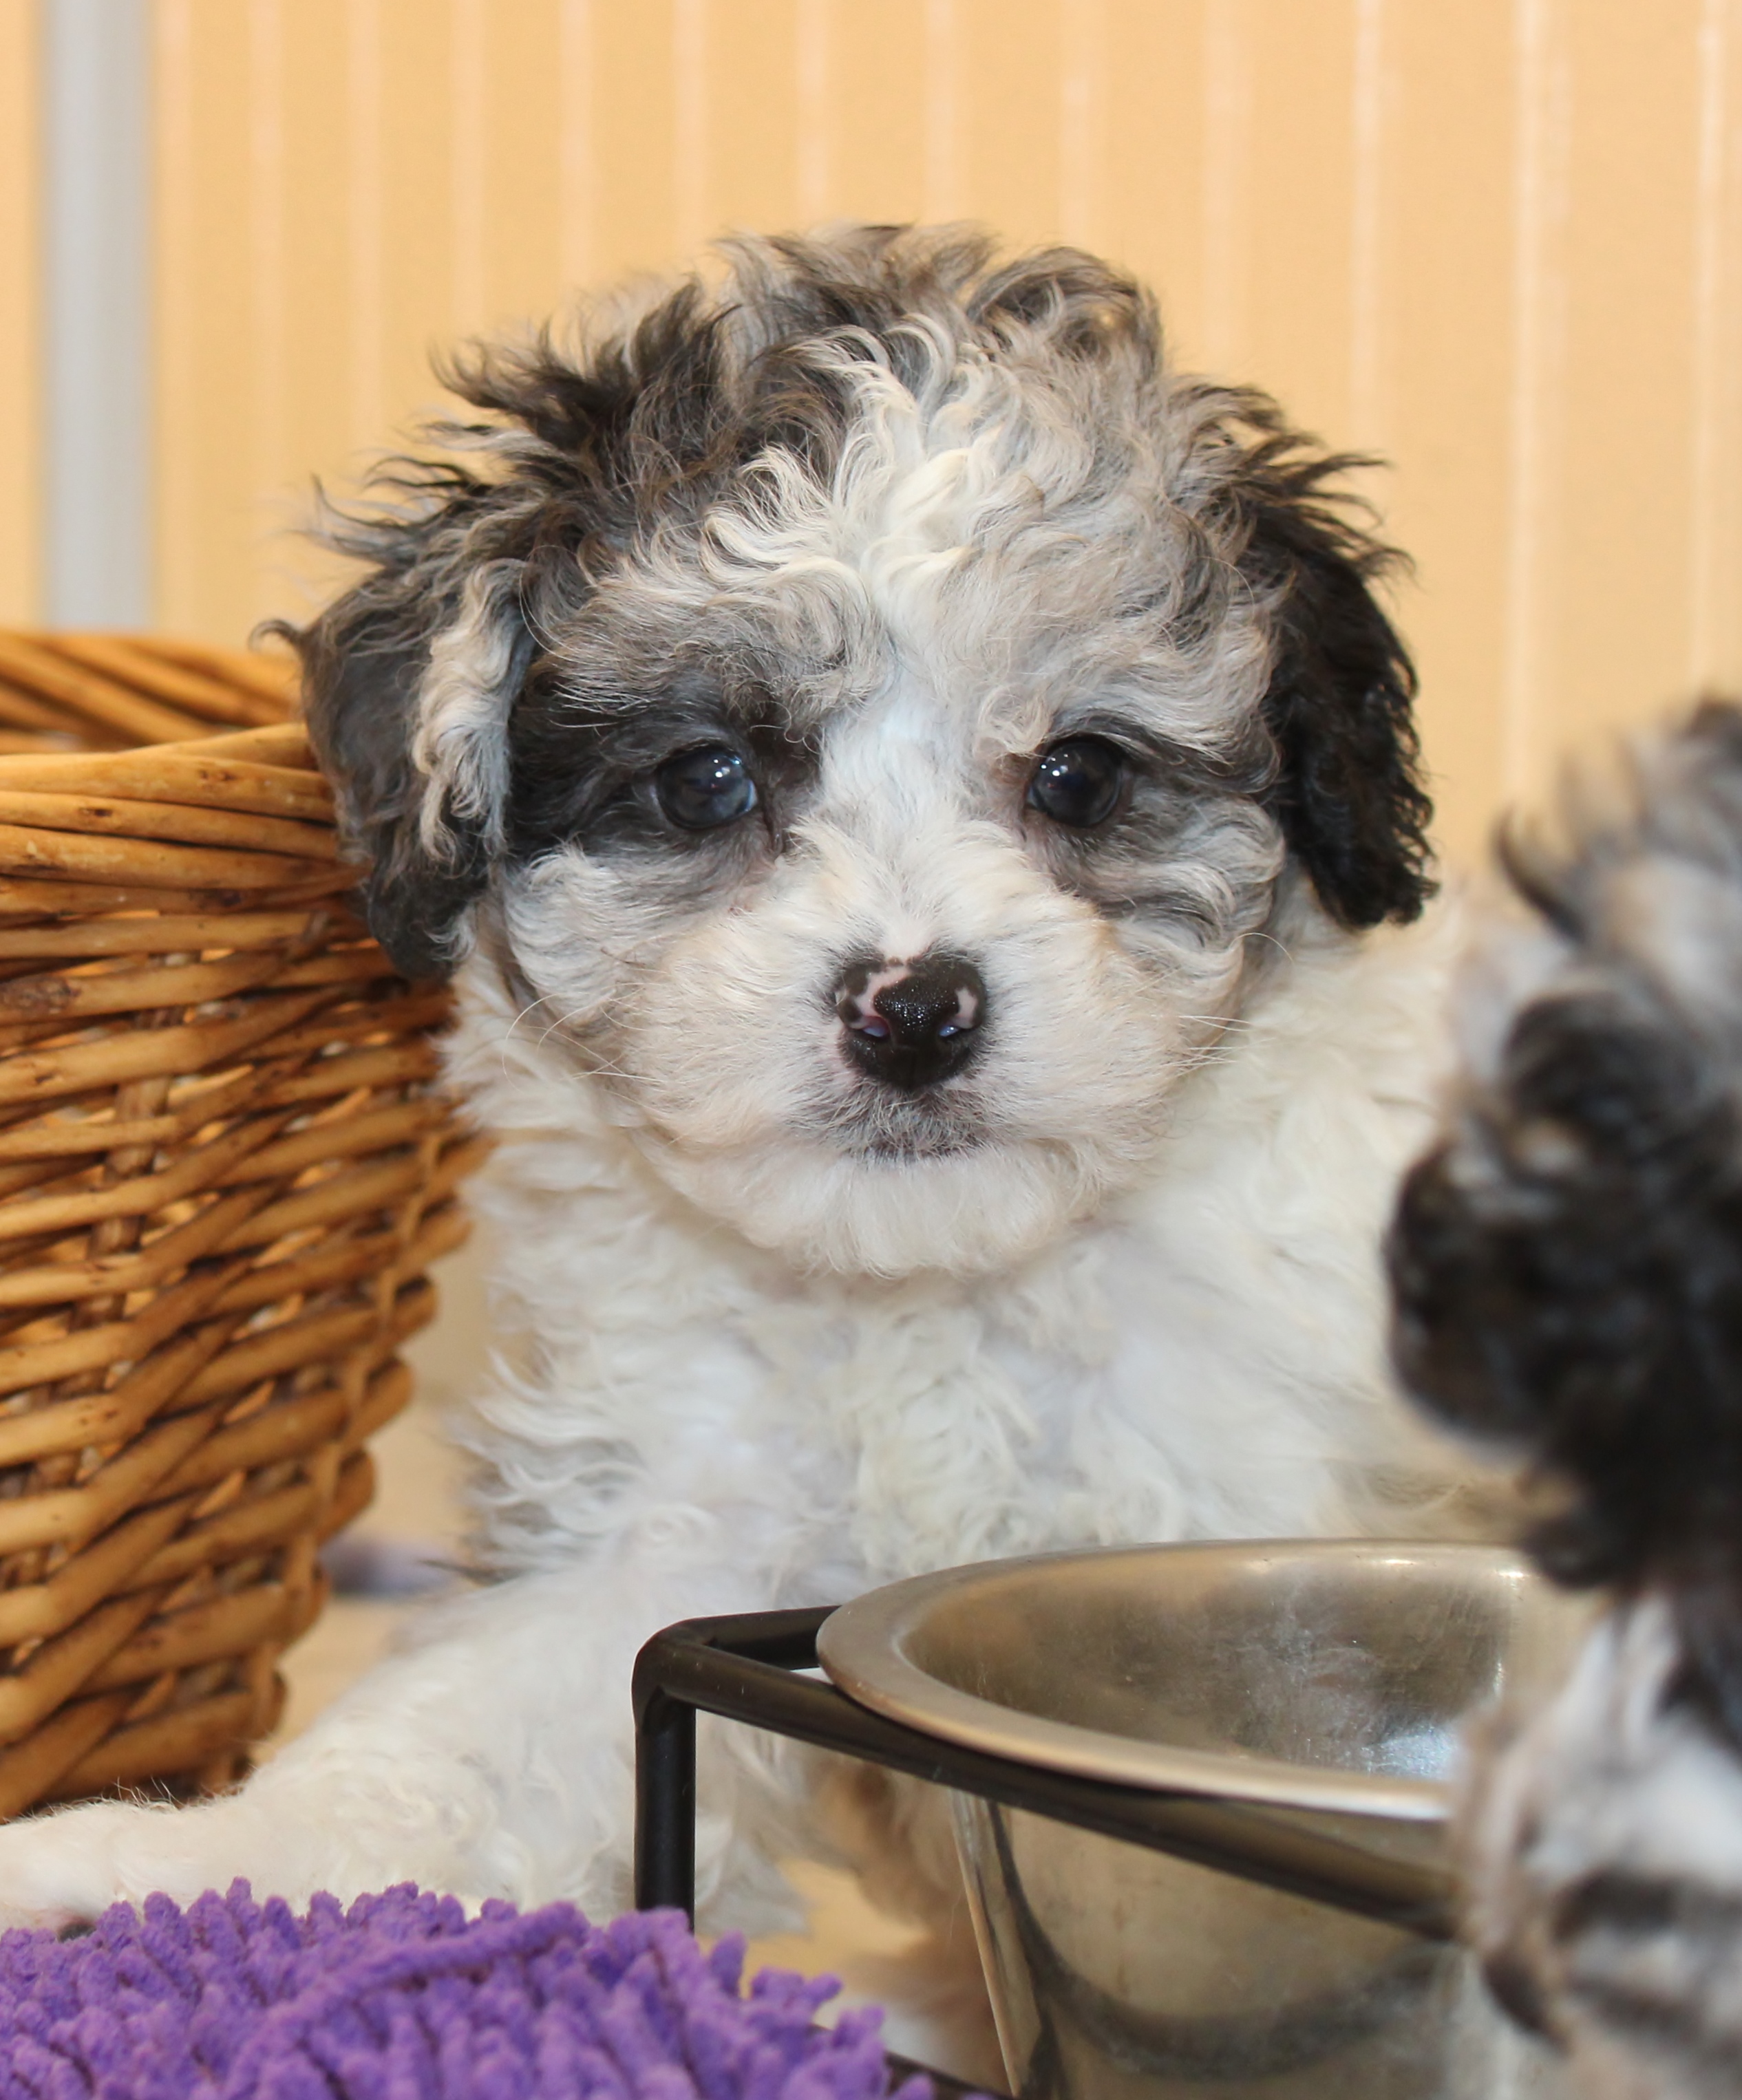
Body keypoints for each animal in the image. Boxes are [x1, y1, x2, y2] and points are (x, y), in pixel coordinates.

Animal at [0, 230, 1454, 1931]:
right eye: (706, 778)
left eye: (1079, 773)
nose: (913, 1010)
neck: (919, 1293)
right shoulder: (661, 1527)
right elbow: (455, 1736)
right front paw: (168, 1862)